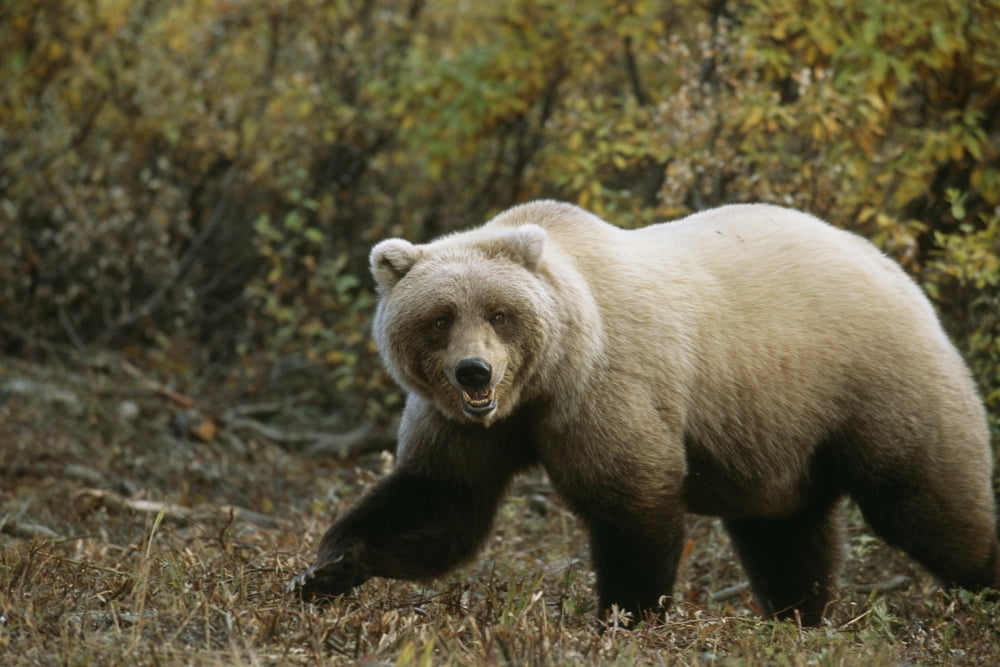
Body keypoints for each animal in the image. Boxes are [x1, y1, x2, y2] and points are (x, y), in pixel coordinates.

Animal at [289, 200, 999, 625]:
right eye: (439, 318)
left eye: (499, 313)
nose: (474, 372)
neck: (538, 387)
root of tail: (893, 265)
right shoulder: (464, 426)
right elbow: (440, 502)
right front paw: (328, 569)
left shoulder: (606, 388)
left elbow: (632, 502)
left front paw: (626, 615)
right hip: (782, 434)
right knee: (786, 535)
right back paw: (800, 615)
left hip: (870, 383)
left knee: (930, 501)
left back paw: (981, 580)